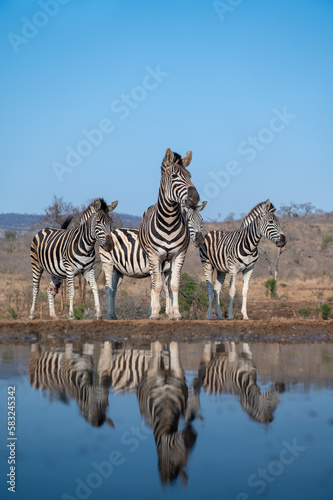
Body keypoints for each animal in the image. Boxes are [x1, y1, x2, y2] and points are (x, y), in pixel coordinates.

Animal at [136, 342, 196, 482]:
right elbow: (156, 348)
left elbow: (175, 349)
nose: (194, 435)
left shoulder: (179, 375)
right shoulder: (152, 373)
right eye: (175, 463)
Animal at [138, 148, 200, 320]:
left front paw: (176, 313)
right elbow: (157, 286)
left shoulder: (179, 255)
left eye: (190, 176)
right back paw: (154, 310)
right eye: (174, 176)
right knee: (155, 283)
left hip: (167, 262)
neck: (169, 222)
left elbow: (174, 285)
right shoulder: (154, 256)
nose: (195, 198)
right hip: (154, 260)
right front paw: (155, 313)